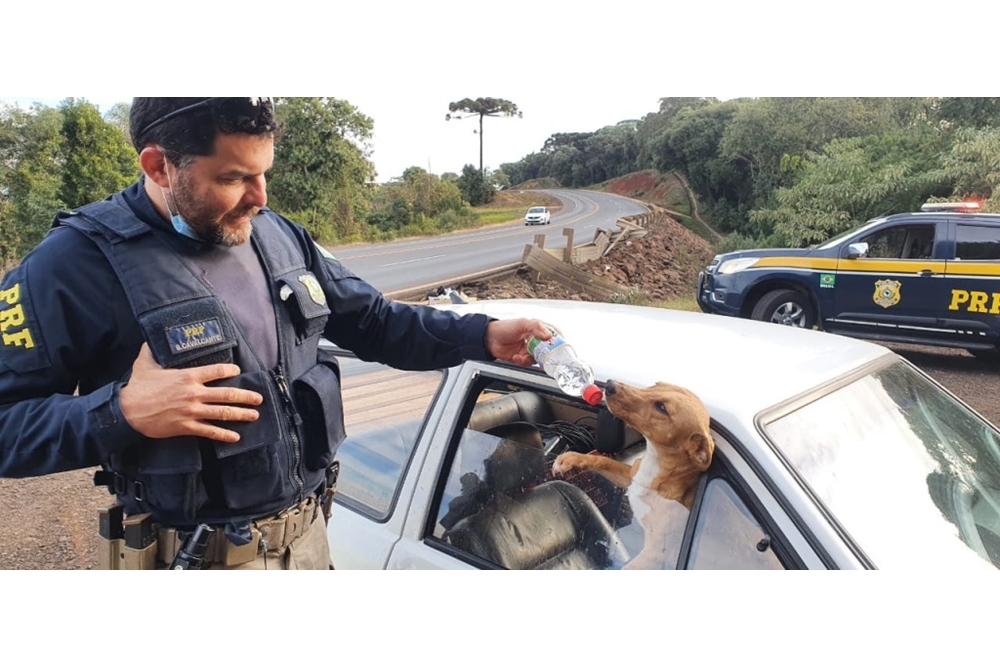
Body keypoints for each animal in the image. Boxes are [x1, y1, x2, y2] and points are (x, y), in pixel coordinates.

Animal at [556, 380, 712, 568]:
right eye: (655, 385)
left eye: (662, 407)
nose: (609, 384)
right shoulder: (630, 477)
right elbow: (603, 461)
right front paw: (573, 458)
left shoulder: (655, 553)